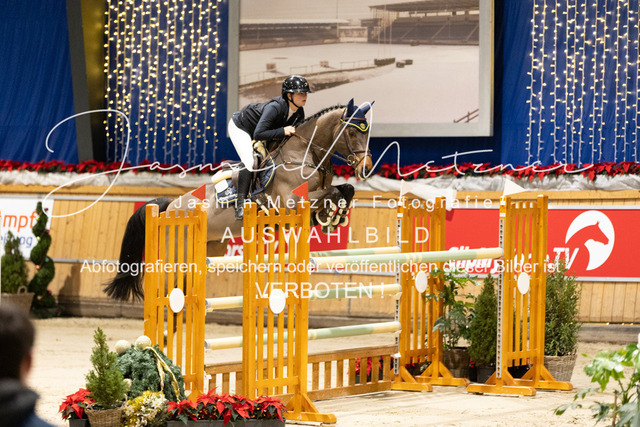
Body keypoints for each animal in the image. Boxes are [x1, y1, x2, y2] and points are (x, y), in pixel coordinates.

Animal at [104, 98, 374, 301]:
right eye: (352, 131)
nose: (367, 168)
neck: (304, 153)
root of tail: (169, 207)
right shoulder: (289, 202)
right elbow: (332, 194)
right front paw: (331, 218)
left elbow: (345, 189)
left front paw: (333, 219)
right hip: (177, 255)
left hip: (209, 248)